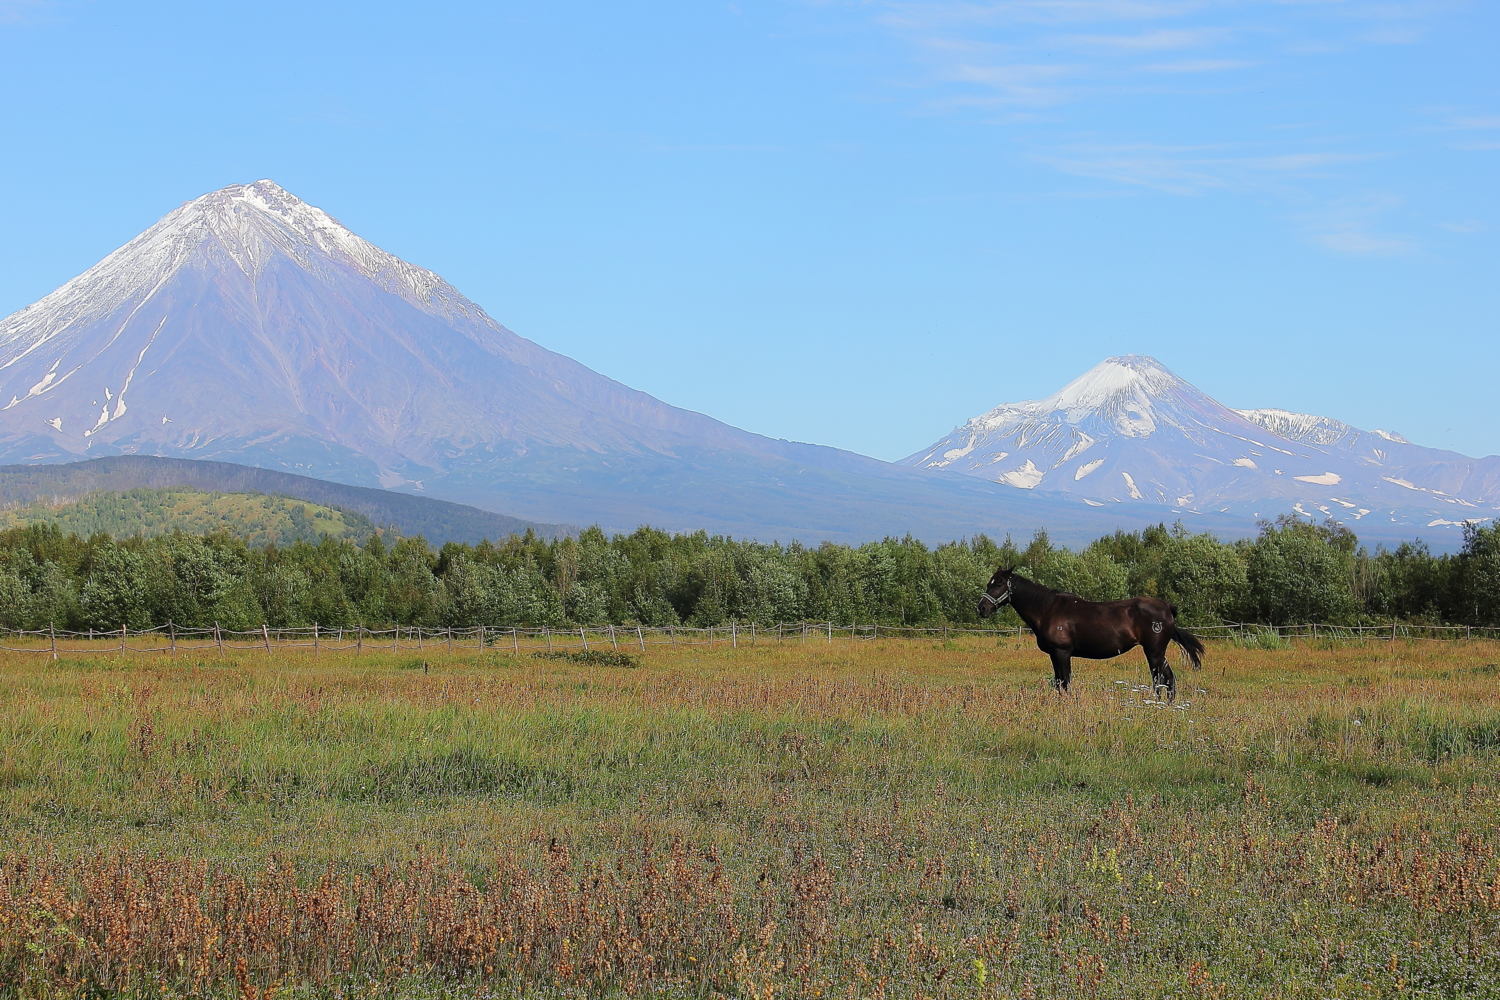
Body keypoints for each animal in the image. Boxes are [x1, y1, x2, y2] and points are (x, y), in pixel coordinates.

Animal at [972, 566, 1206, 701]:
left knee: (1164, 679)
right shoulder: (1054, 655)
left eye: (999, 584)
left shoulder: (1062, 653)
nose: (982, 608)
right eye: (989, 583)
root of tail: (1167, 607)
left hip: (1155, 652)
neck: (1047, 608)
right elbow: (1059, 683)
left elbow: (1065, 683)